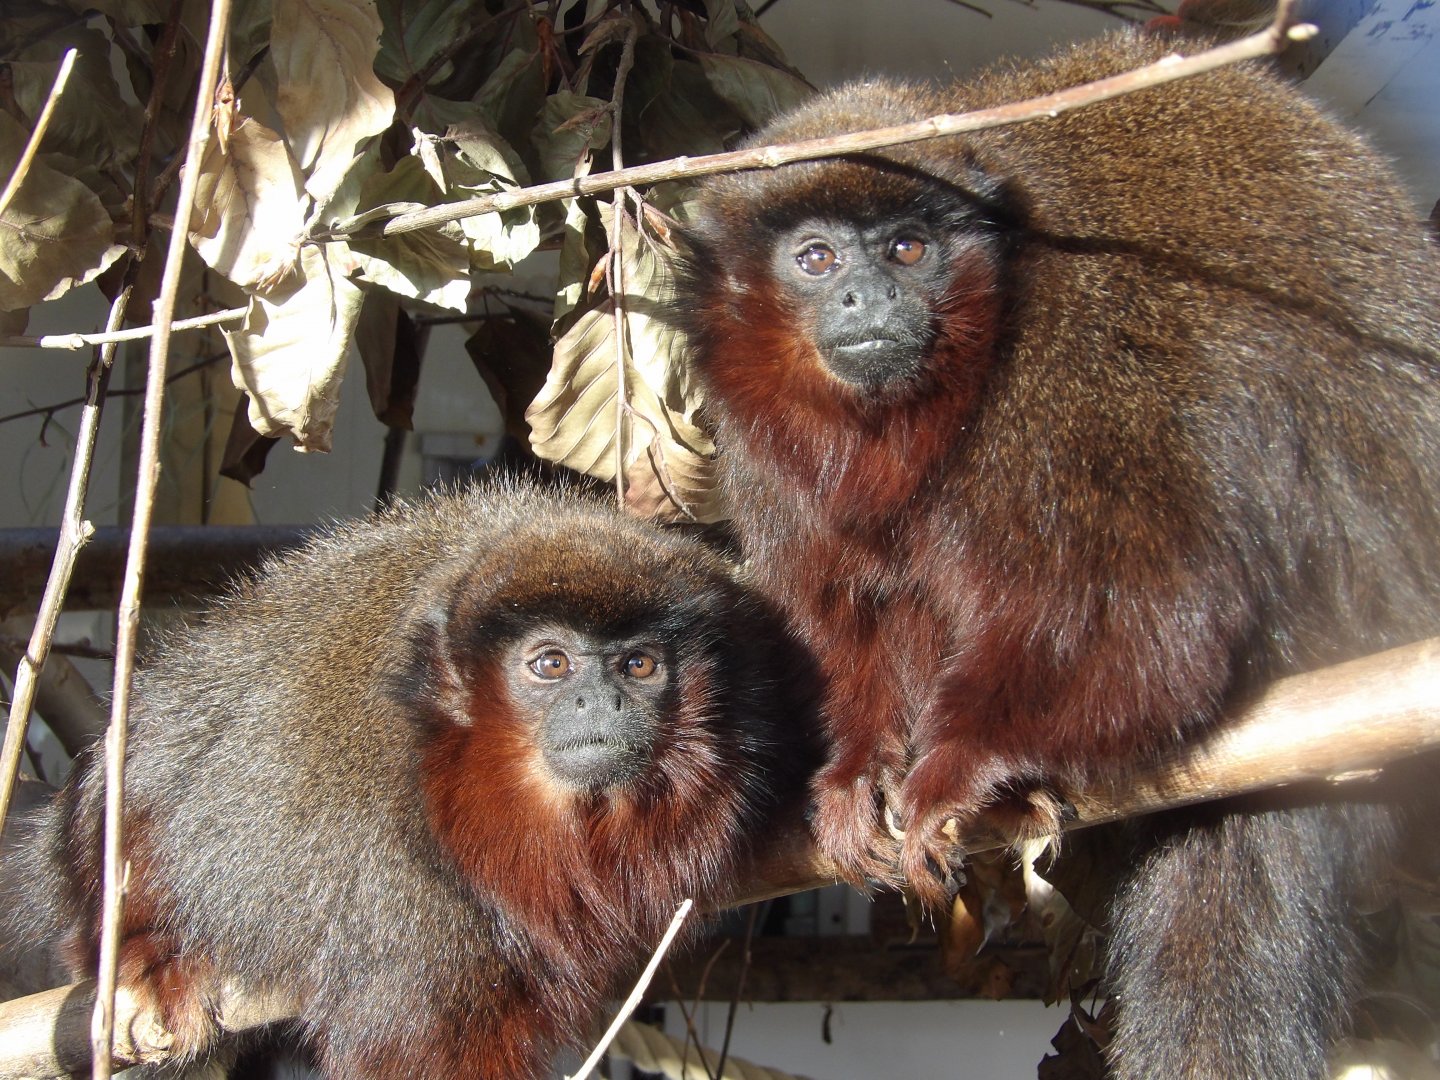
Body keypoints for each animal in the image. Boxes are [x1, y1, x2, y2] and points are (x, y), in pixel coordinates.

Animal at [20, 479, 813, 1078]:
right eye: (551, 664)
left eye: (639, 665)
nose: (603, 702)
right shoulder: (410, 908)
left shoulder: (766, 652)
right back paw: (147, 952)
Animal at [675, 32, 1440, 1080]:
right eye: (816, 257)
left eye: (907, 248)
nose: (866, 293)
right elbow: (843, 610)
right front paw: (855, 771)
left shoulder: (1071, 356)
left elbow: (1158, 609)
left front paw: (962, 768)